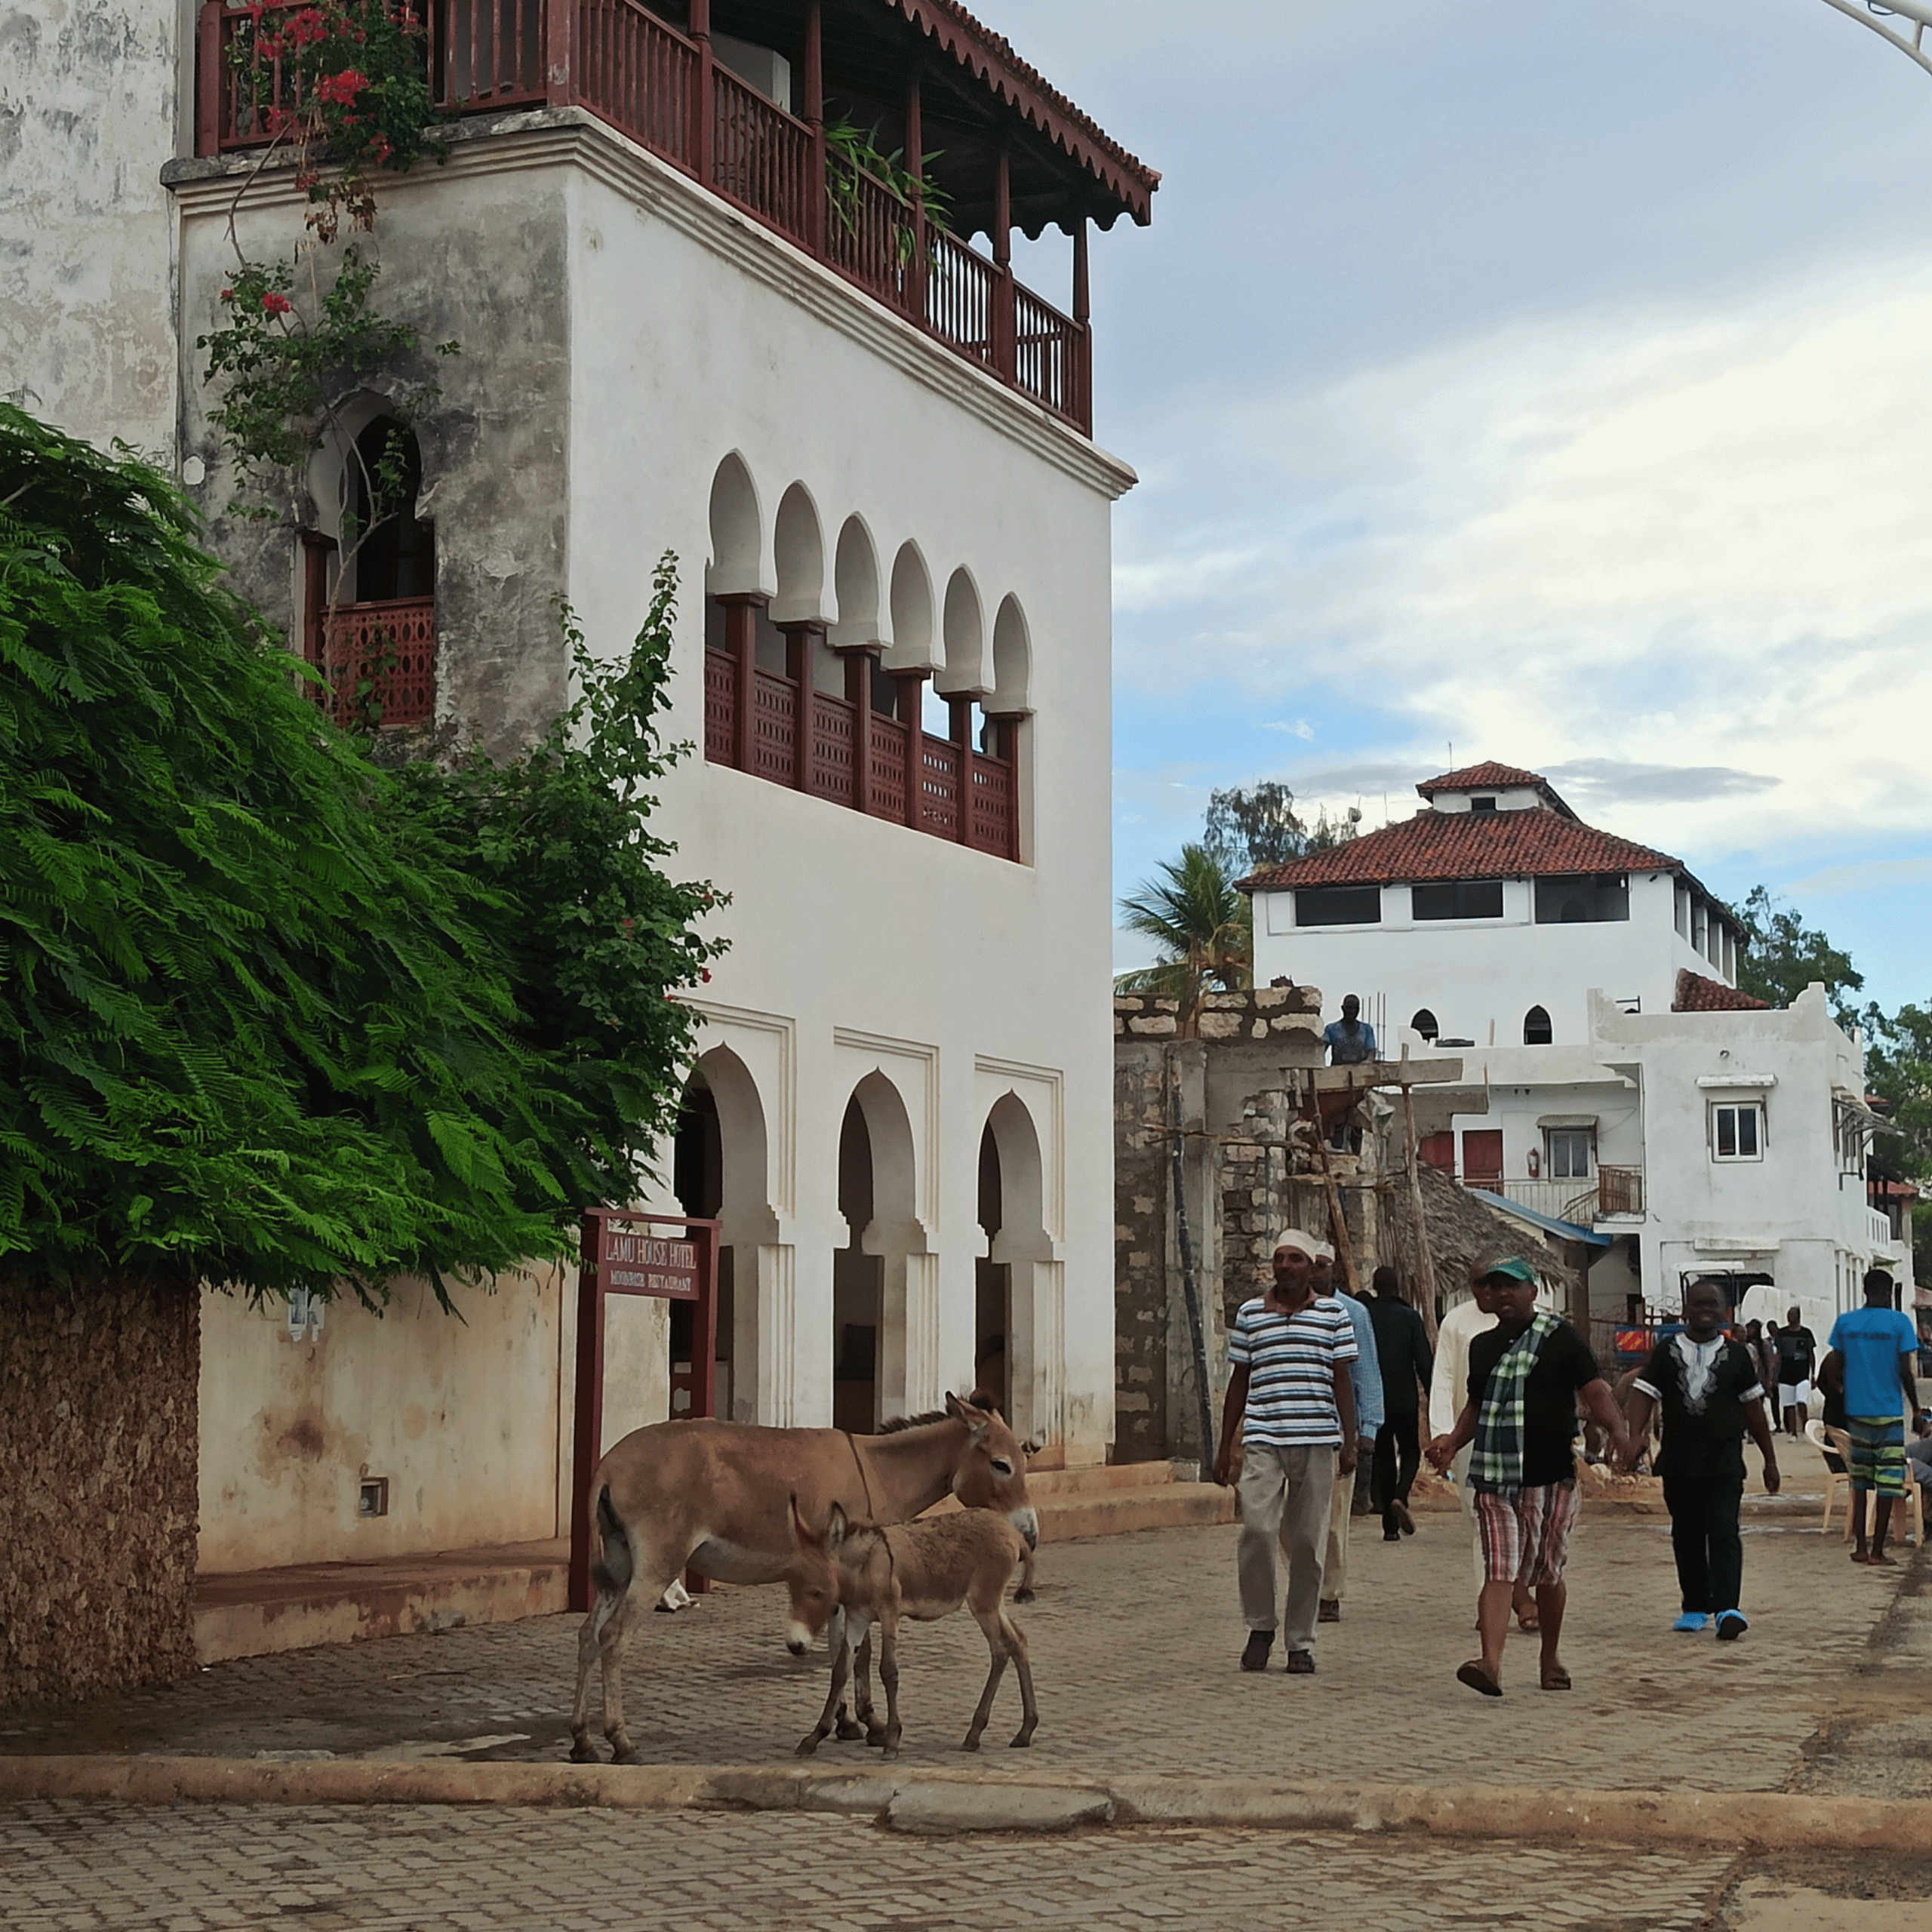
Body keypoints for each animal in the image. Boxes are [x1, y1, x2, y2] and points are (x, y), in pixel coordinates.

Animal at [780, 1499, 1035, 1761]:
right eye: (791, 1590)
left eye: (817, 1593)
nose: (795, 1645)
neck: (864, 1568)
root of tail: (1013, 1532)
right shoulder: (857, 1619)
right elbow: (841, 1671)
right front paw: (813, 1738)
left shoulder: (889, 1614)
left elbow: (888, 1671)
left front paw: (892, 1741)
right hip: (993, 1603)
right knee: (1018, 1642)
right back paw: (1024, 1731)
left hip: (983, 1603)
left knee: (1000, 1649)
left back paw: (975, 1734)